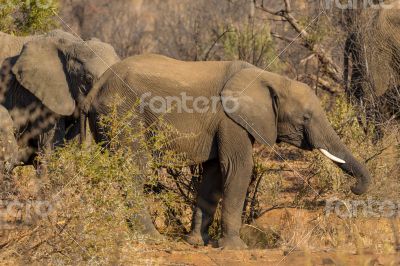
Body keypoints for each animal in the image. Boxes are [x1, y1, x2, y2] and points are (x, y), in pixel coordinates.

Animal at [83, 53, 372, 249]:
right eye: (306, 118)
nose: (354, 188)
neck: (269, 77)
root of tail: (96, 87)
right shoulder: (230, 119)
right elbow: (238, 167)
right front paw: (235, 248)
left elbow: (214, 175)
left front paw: (197, 242)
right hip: (123, 113)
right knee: (134, 167)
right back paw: (150, 237)